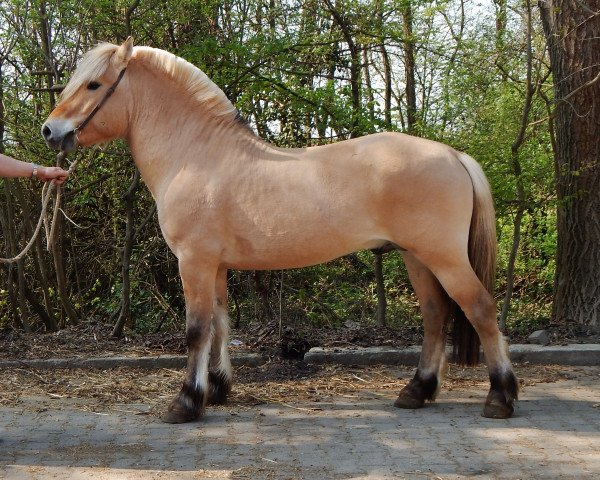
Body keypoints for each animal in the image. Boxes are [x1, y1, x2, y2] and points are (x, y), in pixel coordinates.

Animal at [43, 39, 520, 422]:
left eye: (93, 85)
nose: (50, 131)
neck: (195, 155)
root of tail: (454, 155)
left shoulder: (194, 261)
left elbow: (196, 329)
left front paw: (186, 402)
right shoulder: (216, 266)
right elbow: (220, 325)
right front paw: (217, 390)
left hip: (443, 256)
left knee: (480, 309)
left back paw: (500, 397)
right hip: (416, 257)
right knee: (436, 316)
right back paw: (416, 391)